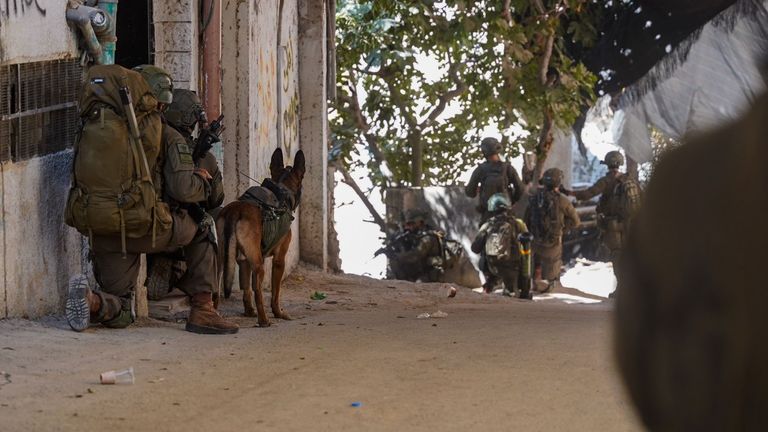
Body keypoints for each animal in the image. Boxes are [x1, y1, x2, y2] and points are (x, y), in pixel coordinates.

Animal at [214, 148, 304, 328]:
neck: (281, 191)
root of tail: (235, 210)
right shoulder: (279, 260)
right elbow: (275, 293)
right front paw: (278, 312)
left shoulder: (243, 261)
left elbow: (246, 289)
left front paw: (249, 311)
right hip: (259, 265)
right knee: (258, 290)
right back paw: (264, 320)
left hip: (223, 258)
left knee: (218, 284)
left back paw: (216, 313)